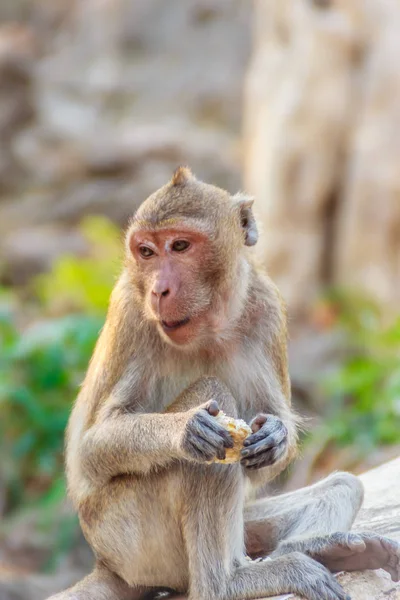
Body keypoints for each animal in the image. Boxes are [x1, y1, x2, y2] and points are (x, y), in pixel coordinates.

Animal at [47, 168, 400, 600]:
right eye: (146, 252)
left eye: (180, 246)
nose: (159, 290)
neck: (208, 326)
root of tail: (108, 565)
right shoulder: (131, 312)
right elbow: (90, 451)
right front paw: (185, 429)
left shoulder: (266, 305)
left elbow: (271, 436)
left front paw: (276, 434)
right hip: (129, 535)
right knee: (211, 401)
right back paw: (228, 582)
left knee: (344, 485)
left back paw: (323, 549)